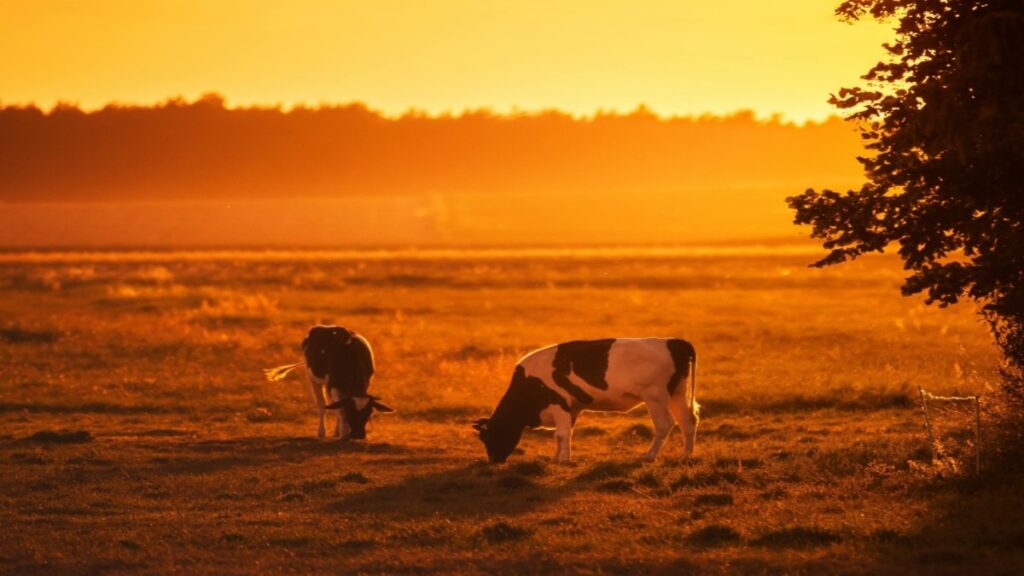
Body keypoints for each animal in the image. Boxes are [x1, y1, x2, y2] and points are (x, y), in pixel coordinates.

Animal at [468, 336, 696, 461]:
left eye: (489, 436)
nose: (494, 461)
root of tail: (675, 341)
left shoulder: (559, 404)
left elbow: (561, 434)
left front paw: (564, 460)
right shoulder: (572, 408)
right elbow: (563, 434)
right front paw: (556, 457)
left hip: (655, 396)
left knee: (665, 424)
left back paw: (650, 456)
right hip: (677, 393)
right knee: (688, 421)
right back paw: (686, 455)